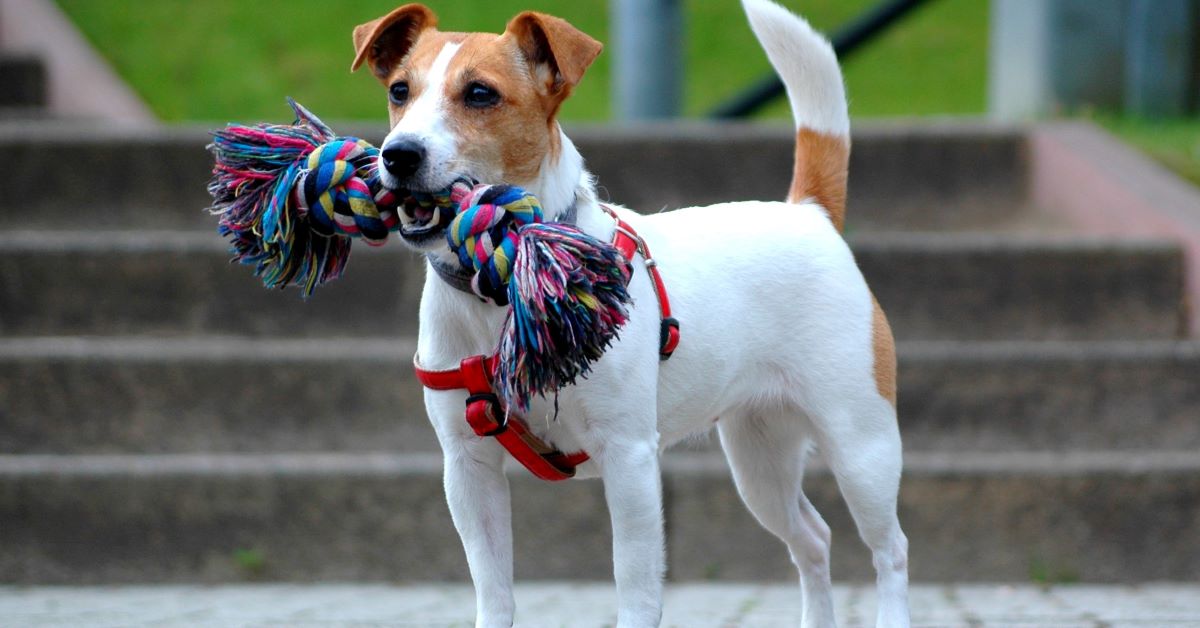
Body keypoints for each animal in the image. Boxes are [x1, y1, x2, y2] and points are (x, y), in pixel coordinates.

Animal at [348, 1, 907, 624]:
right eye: (400, 91)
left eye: (479, 94)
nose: (398, 154)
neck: (509, 274)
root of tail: (808, 212)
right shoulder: (468, 468)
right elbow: (493, 590)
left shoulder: (630, 459)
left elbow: (635, 587)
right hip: (760, 458)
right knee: (813, 538)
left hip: (860, 445)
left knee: (889, 550)